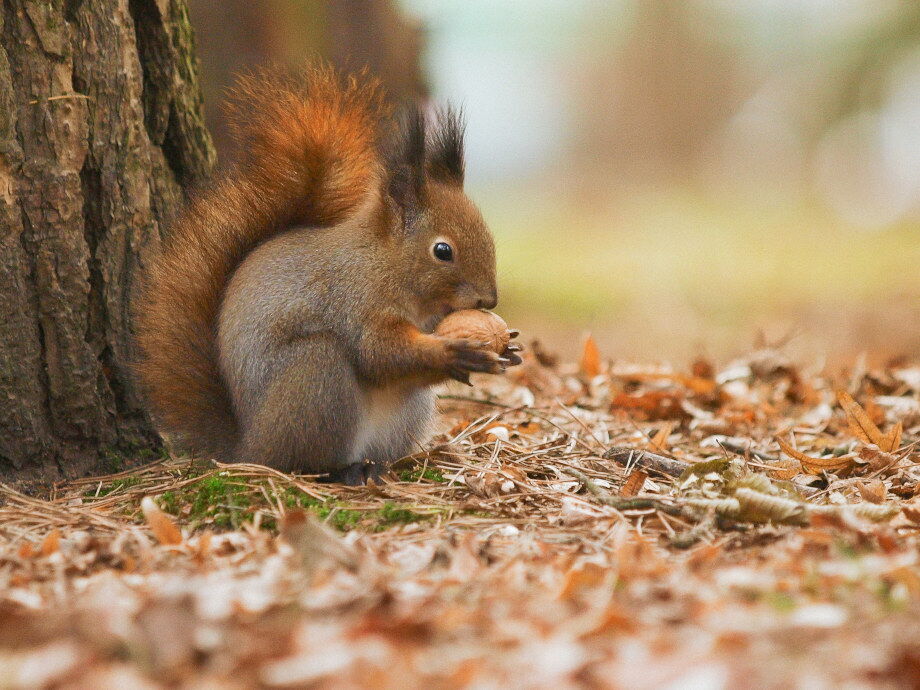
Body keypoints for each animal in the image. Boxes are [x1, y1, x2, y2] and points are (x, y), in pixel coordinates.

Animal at [134, 64, 520, 484]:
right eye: (443, 251)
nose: (489, 300)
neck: (386, 264)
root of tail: (245, 448)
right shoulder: (356, 300)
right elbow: (379, 353)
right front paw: (454, 351)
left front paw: (507, 349)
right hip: (316, 378)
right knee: (301, 458)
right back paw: (343, 470)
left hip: (402, 415)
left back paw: (377, 466)